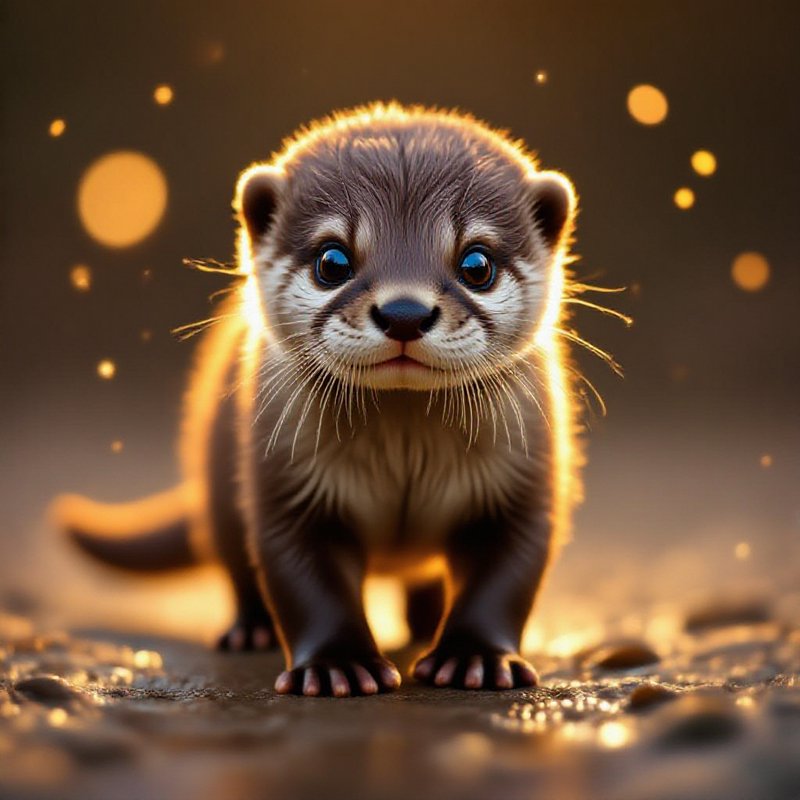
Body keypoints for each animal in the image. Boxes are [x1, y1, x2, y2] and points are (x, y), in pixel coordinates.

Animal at [55, 103, 582, 697]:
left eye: (477, 264)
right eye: (333, 260)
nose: (404, 312)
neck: (404, 463)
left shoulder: (525, 482)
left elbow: (507, 577)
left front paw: (477, 658)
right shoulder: (284, 483)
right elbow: (304, 581)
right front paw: (338, 666)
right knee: (238, 567)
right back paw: (250, 631)